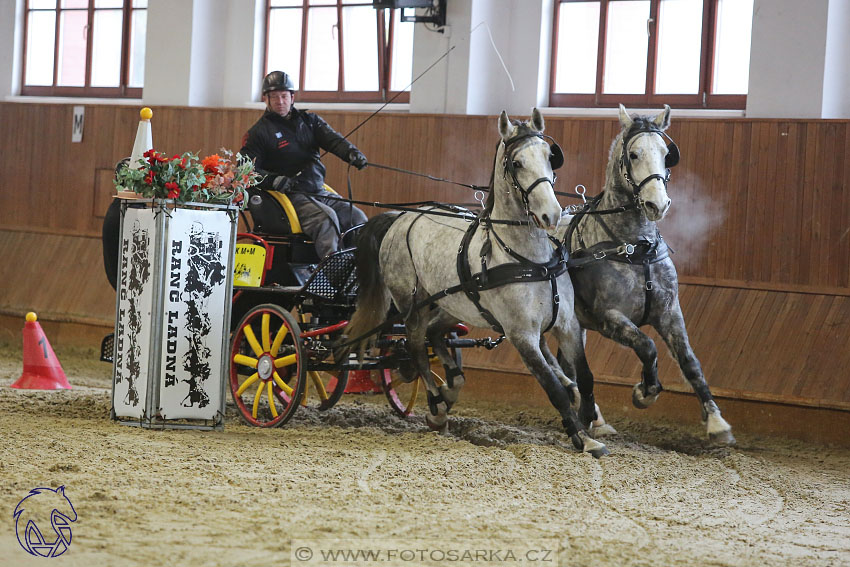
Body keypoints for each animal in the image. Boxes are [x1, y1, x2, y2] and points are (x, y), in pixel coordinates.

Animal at [348, 108, 608, 460]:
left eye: (549, 156)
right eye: (516, 163)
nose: (551, 214)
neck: (531, 262)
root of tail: (401, 218)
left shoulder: (567, 325)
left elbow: (585, 377)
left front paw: (590, 425)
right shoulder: (522, 335)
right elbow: (553, 386)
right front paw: (581, 436)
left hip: (451, 304)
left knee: (435, 335)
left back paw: (450, 389)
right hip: (411, 303)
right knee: (415, 347)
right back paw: (436, 406)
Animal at [560, 104, 732, 446]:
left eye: (666, 154)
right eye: (634, 154)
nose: (657, 203)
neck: (636, 248)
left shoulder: (669, 312)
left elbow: (690, 361)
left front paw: (716, 421)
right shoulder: (610, 318)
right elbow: (647, 346)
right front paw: (645, 392)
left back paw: (595, 417)